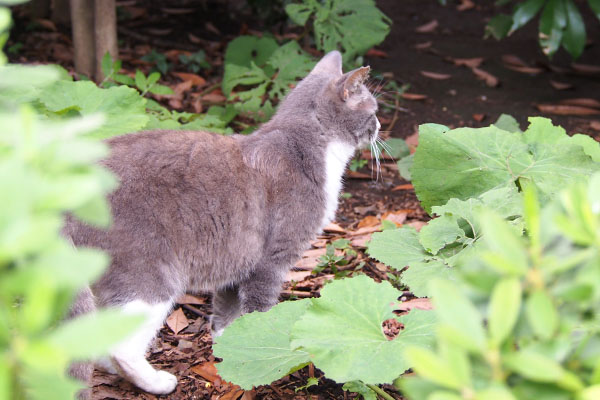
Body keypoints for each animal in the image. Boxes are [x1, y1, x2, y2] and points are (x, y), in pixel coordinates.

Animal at [67, 50, 380, 394]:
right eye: (374, 110)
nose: (380, 125)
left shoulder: (237, 256)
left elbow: (228, 311)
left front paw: (232, 346)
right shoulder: (271, 259)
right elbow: (261, 310)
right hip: (148, 273)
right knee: (121, 345)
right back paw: (156, 382)